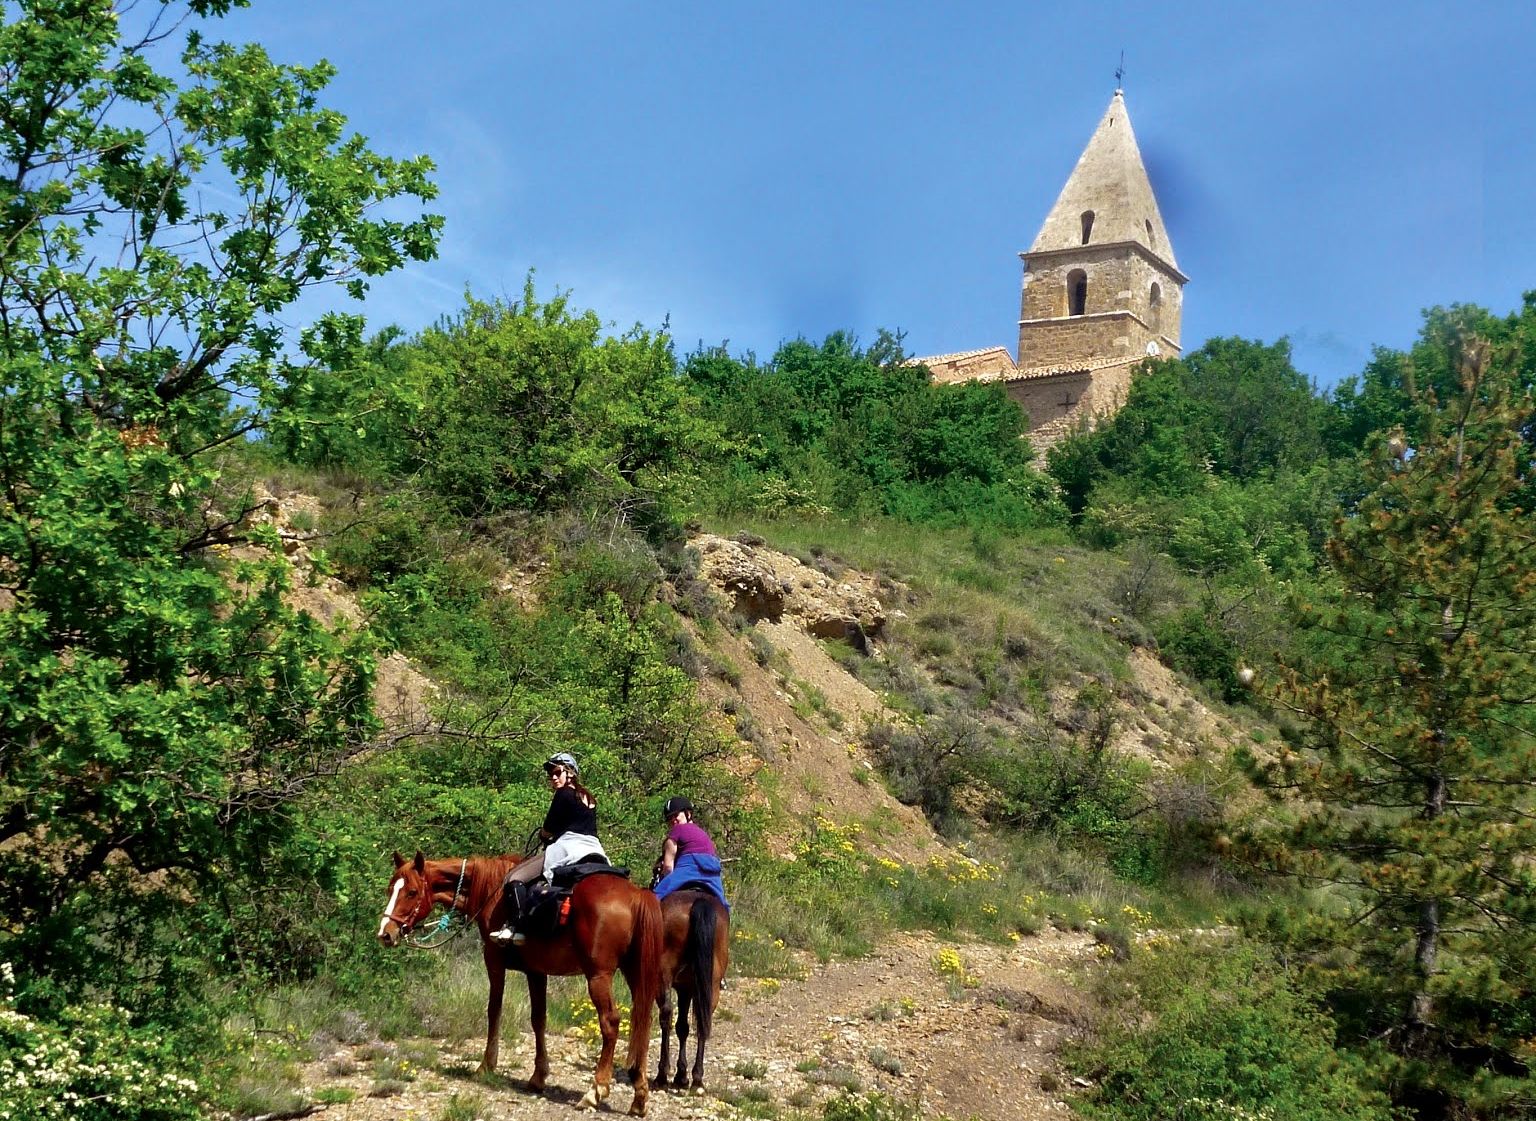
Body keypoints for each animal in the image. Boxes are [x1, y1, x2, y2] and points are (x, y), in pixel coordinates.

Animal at [376, 847, 660, 1111]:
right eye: (391, 889)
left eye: (412, 892)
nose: (385, 934)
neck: (492, 892)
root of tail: (636, 895)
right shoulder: (536, 971)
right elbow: (538, 1019)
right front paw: (538, 1076)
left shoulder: (494, 961)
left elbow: (494, 1010)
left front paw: (486, 1065)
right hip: (634, 973)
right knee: (643, 1021)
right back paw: (639, 1095)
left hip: (598, 976)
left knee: (610, 1022)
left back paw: (595, 1090)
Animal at [654, 884, 731, 1087]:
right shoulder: (687, 989)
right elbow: (683, 1027)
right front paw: (682, 1074)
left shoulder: (682, 989)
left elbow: (680, 1026)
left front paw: (680, 1074)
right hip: (710, 984)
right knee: (703, 1022)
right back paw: (697, 1078)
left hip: (662, 977)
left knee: (666, 1015)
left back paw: (662, 1074)